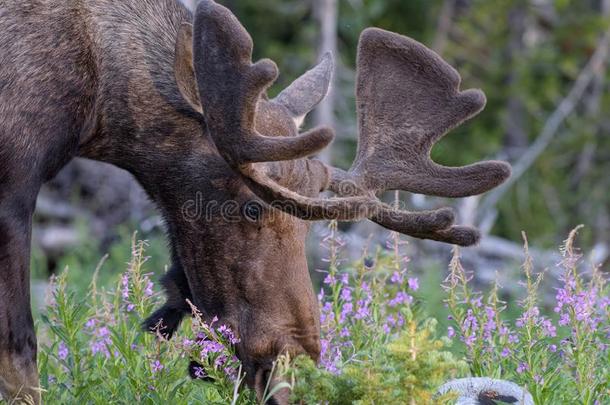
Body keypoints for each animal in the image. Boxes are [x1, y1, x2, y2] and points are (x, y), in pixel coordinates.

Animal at [0, 0, 510, 400]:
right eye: (252, 205)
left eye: (306, 226)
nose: (293, 367)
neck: (93, 115)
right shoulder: (13, 183)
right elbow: (21, 349)